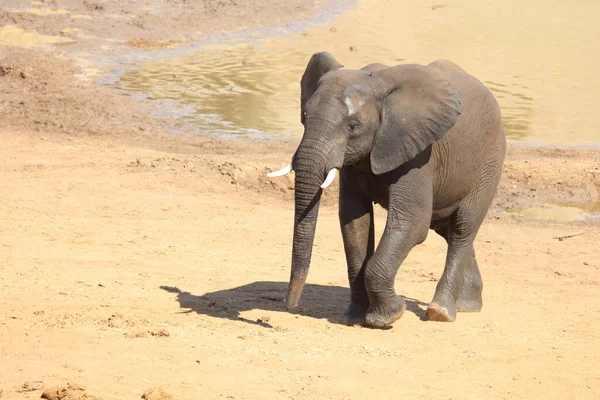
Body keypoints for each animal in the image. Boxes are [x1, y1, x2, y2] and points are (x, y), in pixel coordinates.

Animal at [268, 51, 506, 326]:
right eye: (304, 117)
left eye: (352, 126)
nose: (289, 306)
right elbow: (354, 224)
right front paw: (353, 318)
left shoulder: (418, 153)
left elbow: (412, 222)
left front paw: (388, 317)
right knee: (445, 227)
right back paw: (467, 305)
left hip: (490, 162)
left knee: (462, 228)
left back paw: (441, 313)